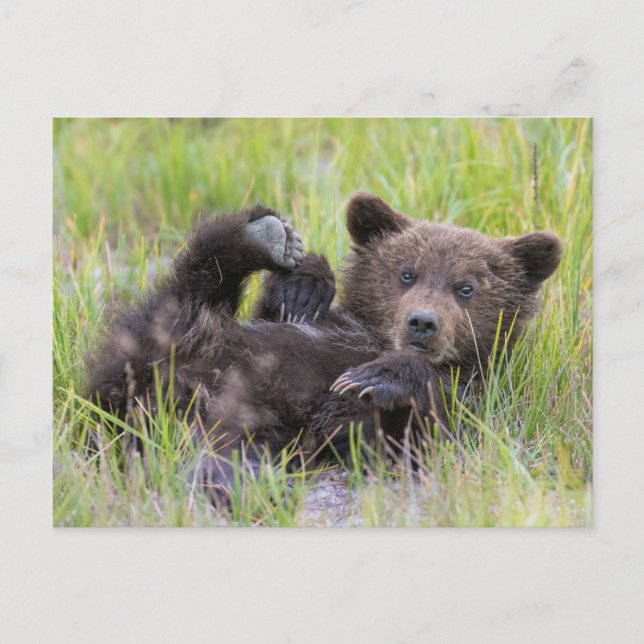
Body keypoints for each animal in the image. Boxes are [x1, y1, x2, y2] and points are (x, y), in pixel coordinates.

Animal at [86, 193, 562, 499]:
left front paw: (376, 376)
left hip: (246, 423)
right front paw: (304, 285)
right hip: (167, 345)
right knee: (185, 293)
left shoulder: (470, 398)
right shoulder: (308, 326)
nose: (422, 323)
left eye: (466, 287)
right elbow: (281, 311)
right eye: (406, 273)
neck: (372, 336)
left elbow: (422, 434)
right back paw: (262, 235)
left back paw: (240, 481)